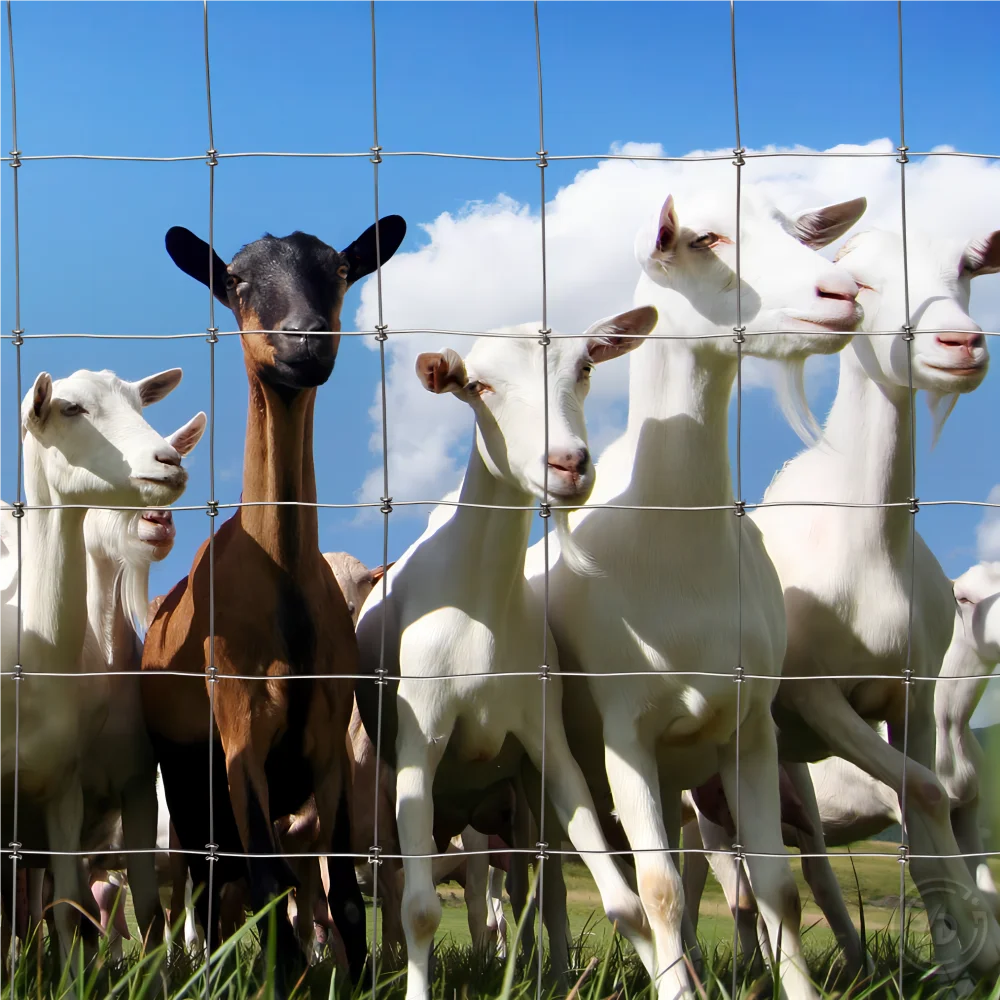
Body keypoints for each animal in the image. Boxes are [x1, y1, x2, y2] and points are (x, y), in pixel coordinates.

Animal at [140, 218, 406, 996]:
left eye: (340, 270)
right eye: (235, 281)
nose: (304, 340)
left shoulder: (325, 743)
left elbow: (342, 897)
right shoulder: (240, 738)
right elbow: (266, 885)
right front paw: (278, 979)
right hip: (188, 785)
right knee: (211, 888)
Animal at [355, 307, 661, 1000]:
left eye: (585, 367)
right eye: (479, 386)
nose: (568, 463)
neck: (480, 611)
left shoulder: (542, 737)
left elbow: (621, 900)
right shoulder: (419, 737)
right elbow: (419, 908)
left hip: (517, 800)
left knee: (532, 891)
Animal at [525, 186, 868, 1000]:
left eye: (801, 230)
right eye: (703, 239)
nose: (842, 293)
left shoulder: (750, 728)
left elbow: (776, 887)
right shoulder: (624, 733)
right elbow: (655, 891)